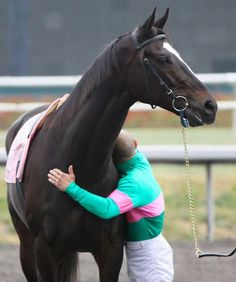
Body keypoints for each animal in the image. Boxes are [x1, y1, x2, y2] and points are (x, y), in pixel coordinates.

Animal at [6, 8, 218, 282]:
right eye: (164, 59)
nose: (209, 106)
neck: (76, 160)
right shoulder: (45, 250)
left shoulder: (111, 251)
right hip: (26, 246)